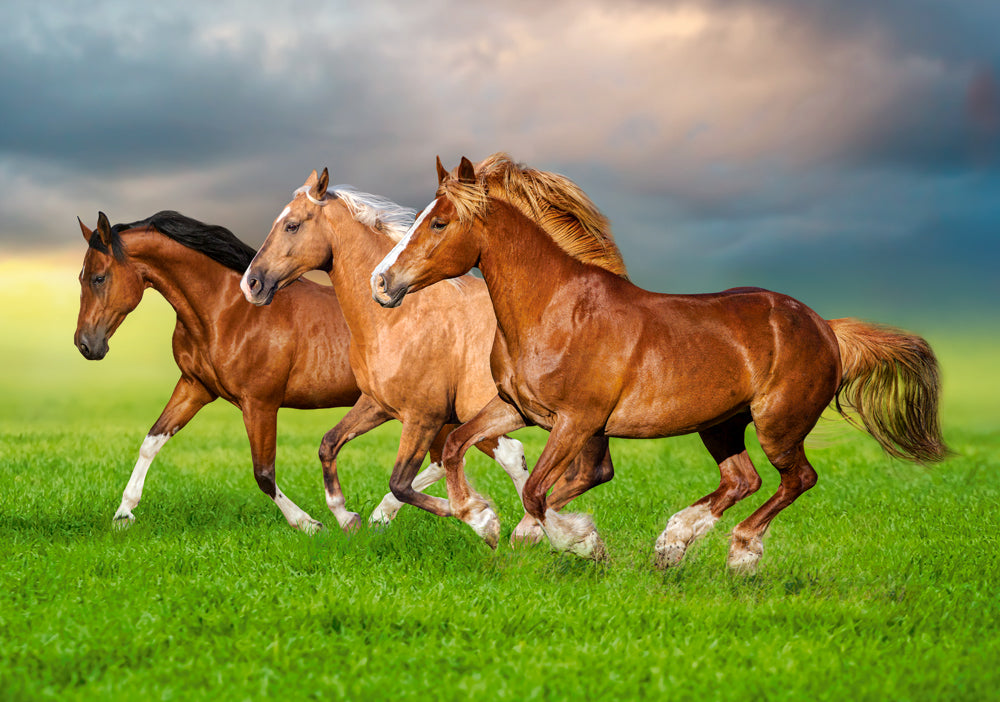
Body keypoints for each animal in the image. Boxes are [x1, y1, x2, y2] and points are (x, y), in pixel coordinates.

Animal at [75, 210, 452, 533]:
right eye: (82, 277)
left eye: (98, 277)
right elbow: (151, 441)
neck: (228, 312)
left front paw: (309, 523)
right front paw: (124, 513)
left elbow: (263, 473)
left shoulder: (260, 404)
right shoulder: (195, 387)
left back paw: (380, 514)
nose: (85, 345)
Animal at [240, 170, 620, 546]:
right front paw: (347, 518)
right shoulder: (379, 404)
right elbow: (329, 445)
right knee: (587, 473)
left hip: (568, 421)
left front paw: (481, 518)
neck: (399, 318)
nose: (251, 284)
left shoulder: (424, 416)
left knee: (576, 472)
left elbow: (402, 481)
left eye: (291, 225)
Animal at [371, 153, 949, 571]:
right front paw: (482, 519)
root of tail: (826, 327)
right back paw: (673, 542)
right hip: (721, 423)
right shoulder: (520, 409)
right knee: (742, 480)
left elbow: (538, 492)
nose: (382, 282)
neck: (555, 310)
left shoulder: (577, 420)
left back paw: (741, 553)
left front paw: (579, 542)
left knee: (797, 479)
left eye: (440, 223)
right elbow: (458, 448)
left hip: (778, 425)